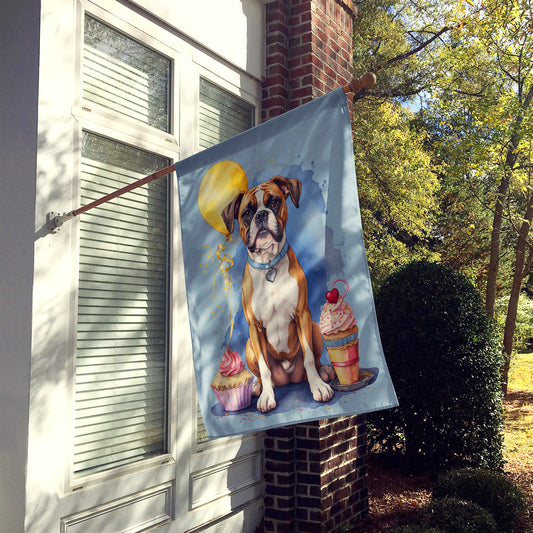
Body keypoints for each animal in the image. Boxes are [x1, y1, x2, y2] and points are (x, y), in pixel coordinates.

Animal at [222, 176, 334, 412]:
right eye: (247, 212)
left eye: (274, 201)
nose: (261, 215)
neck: (269, 265)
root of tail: (289, 378)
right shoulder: (254, 328)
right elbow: (264, 368)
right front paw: (267, 396)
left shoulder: (302, 315)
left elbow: (309, 357)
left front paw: (318, 387)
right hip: (249, 344)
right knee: (263, 374)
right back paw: (258, 387)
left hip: (314, 327)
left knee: (315, 361)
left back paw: (323, 372)